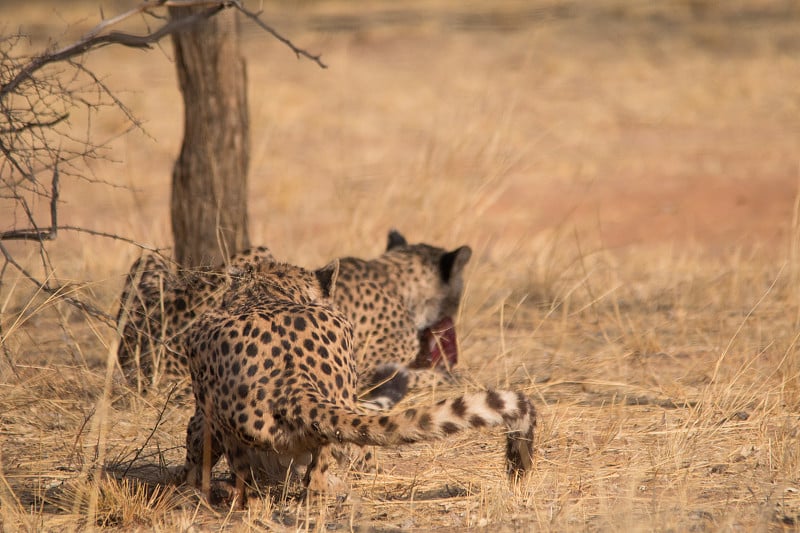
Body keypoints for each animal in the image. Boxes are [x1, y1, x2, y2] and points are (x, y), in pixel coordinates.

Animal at [180, 260, 532, 500]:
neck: (267, 292)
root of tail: (296, 386)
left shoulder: (204, 408)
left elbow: (196, 443)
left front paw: (189, 486)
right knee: (316, 479)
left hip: (230, 427)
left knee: (250, 487)